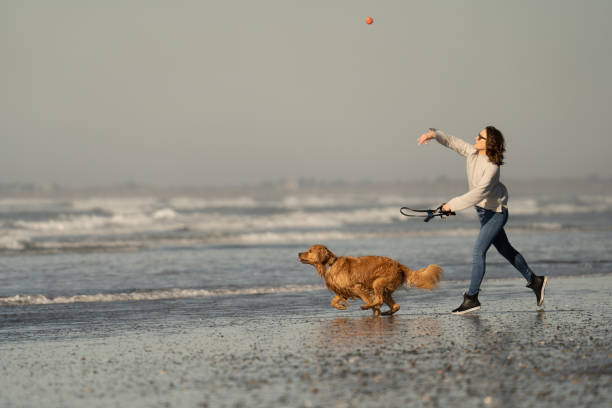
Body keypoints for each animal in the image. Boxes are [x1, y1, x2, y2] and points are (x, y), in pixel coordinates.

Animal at [298, 244, 442, 318]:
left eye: (310, 250)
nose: (298, 253)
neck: (331, 264)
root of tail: (399, 265)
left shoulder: (357, 288)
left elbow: (370, 301)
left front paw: (372, 310)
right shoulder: (342, 291)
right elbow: (333, 301)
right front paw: (340, 306)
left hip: (377, 283)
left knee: (379, 300)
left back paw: (367, 307)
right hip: (385, 289)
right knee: (395, 305)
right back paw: (387, 312)